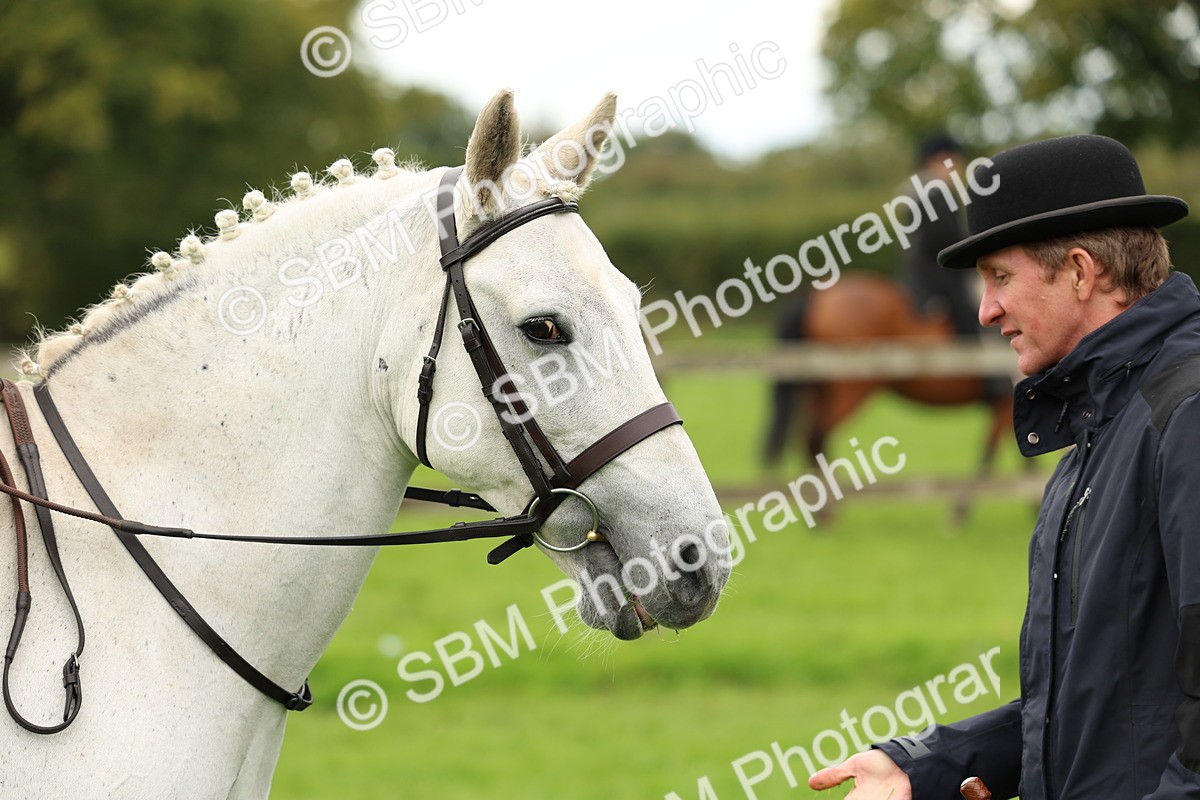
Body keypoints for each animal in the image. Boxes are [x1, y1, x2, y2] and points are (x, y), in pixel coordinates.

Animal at [762, 272, 1015, 522]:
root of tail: (818, 297)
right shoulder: (1005, 402)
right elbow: (989, 451)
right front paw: (960, 511)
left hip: (818, 390)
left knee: (809, 439)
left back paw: (820, 511)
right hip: (851, 390)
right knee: (817, 437)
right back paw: (826, 514)